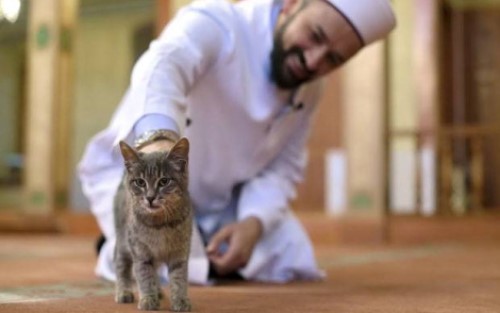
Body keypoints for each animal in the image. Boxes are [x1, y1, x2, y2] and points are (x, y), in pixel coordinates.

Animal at [114, 140, 192, 312]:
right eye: (140, 182)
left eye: (164, 181)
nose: (150, 197)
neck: (160, 225)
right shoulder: (140, 253)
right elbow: (144, 276)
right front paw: (148, 298)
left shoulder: (180, 253)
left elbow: (179, 278)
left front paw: (180, 299)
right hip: (123, 242)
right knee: (121, 266)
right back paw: (123, 291)